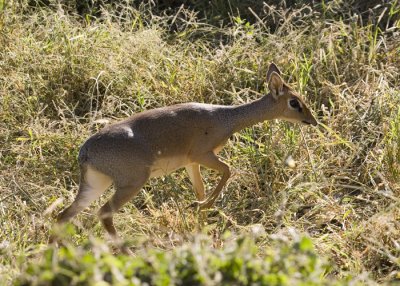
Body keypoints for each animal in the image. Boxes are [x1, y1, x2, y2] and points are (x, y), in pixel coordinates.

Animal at [56, 62, 318, 239]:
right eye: (294, 102)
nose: (313, 121)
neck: (226, 118)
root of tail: (85, 151)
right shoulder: (202, 155)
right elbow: (228, 170)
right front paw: (203, 207)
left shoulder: (192, 163)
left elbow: (201, 188)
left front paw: (199, 217)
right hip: (131, 183)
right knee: (103, 213)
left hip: (96, 184)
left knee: (64, 216)